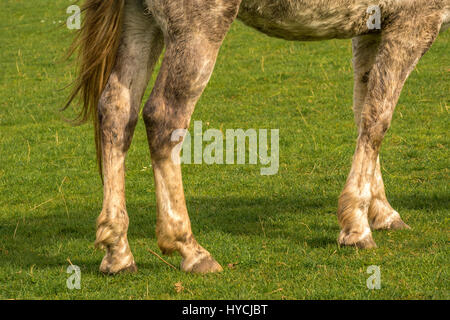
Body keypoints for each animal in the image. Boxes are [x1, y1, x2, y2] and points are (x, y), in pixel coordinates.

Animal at [66, 0, 450, 276]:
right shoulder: (414, 22)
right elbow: (377, 119)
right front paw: (356, 226)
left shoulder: (373, 27)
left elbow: (363, 111)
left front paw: (381, 211)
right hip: (197, 29)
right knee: (164, 118)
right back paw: (190, 248)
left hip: (140, 23)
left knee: (116, 111)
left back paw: (118, 252)